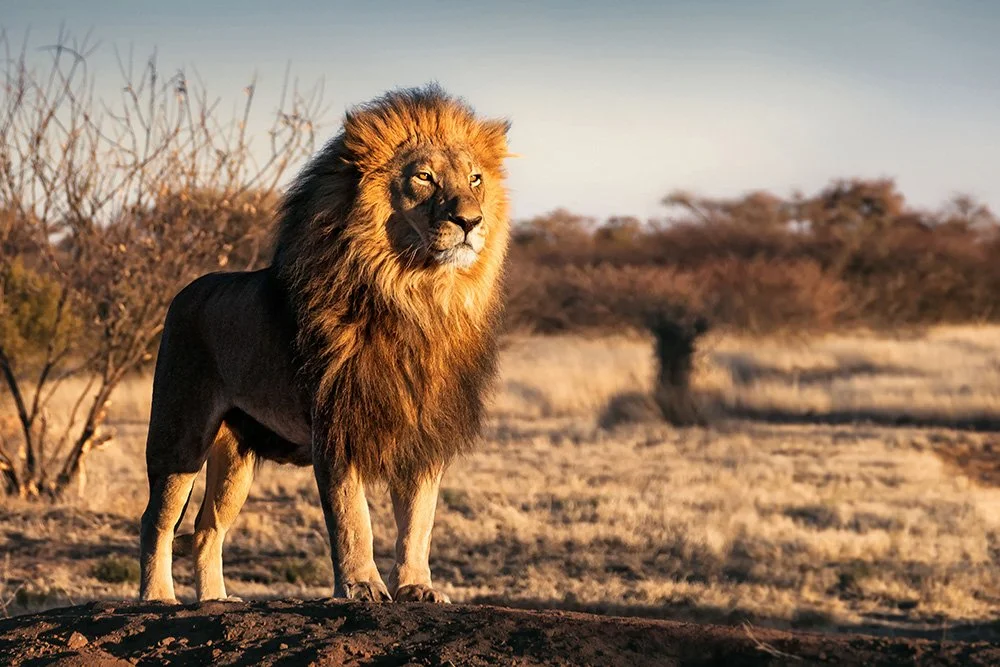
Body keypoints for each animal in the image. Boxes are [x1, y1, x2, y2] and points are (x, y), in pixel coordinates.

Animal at [138, 85, 512, 603]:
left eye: (475, 179)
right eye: (424, 177)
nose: (470, 221)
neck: (417, 297)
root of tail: (185, 291)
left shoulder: (424, 431)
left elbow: (419, 521)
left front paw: (417, 587)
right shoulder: (336, 424)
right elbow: (353, 518)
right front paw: (361, 586)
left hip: (235, 457)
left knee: (207, 527)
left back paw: (215, 599)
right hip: (180, 436)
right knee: (157, 520)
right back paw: (157, 597)